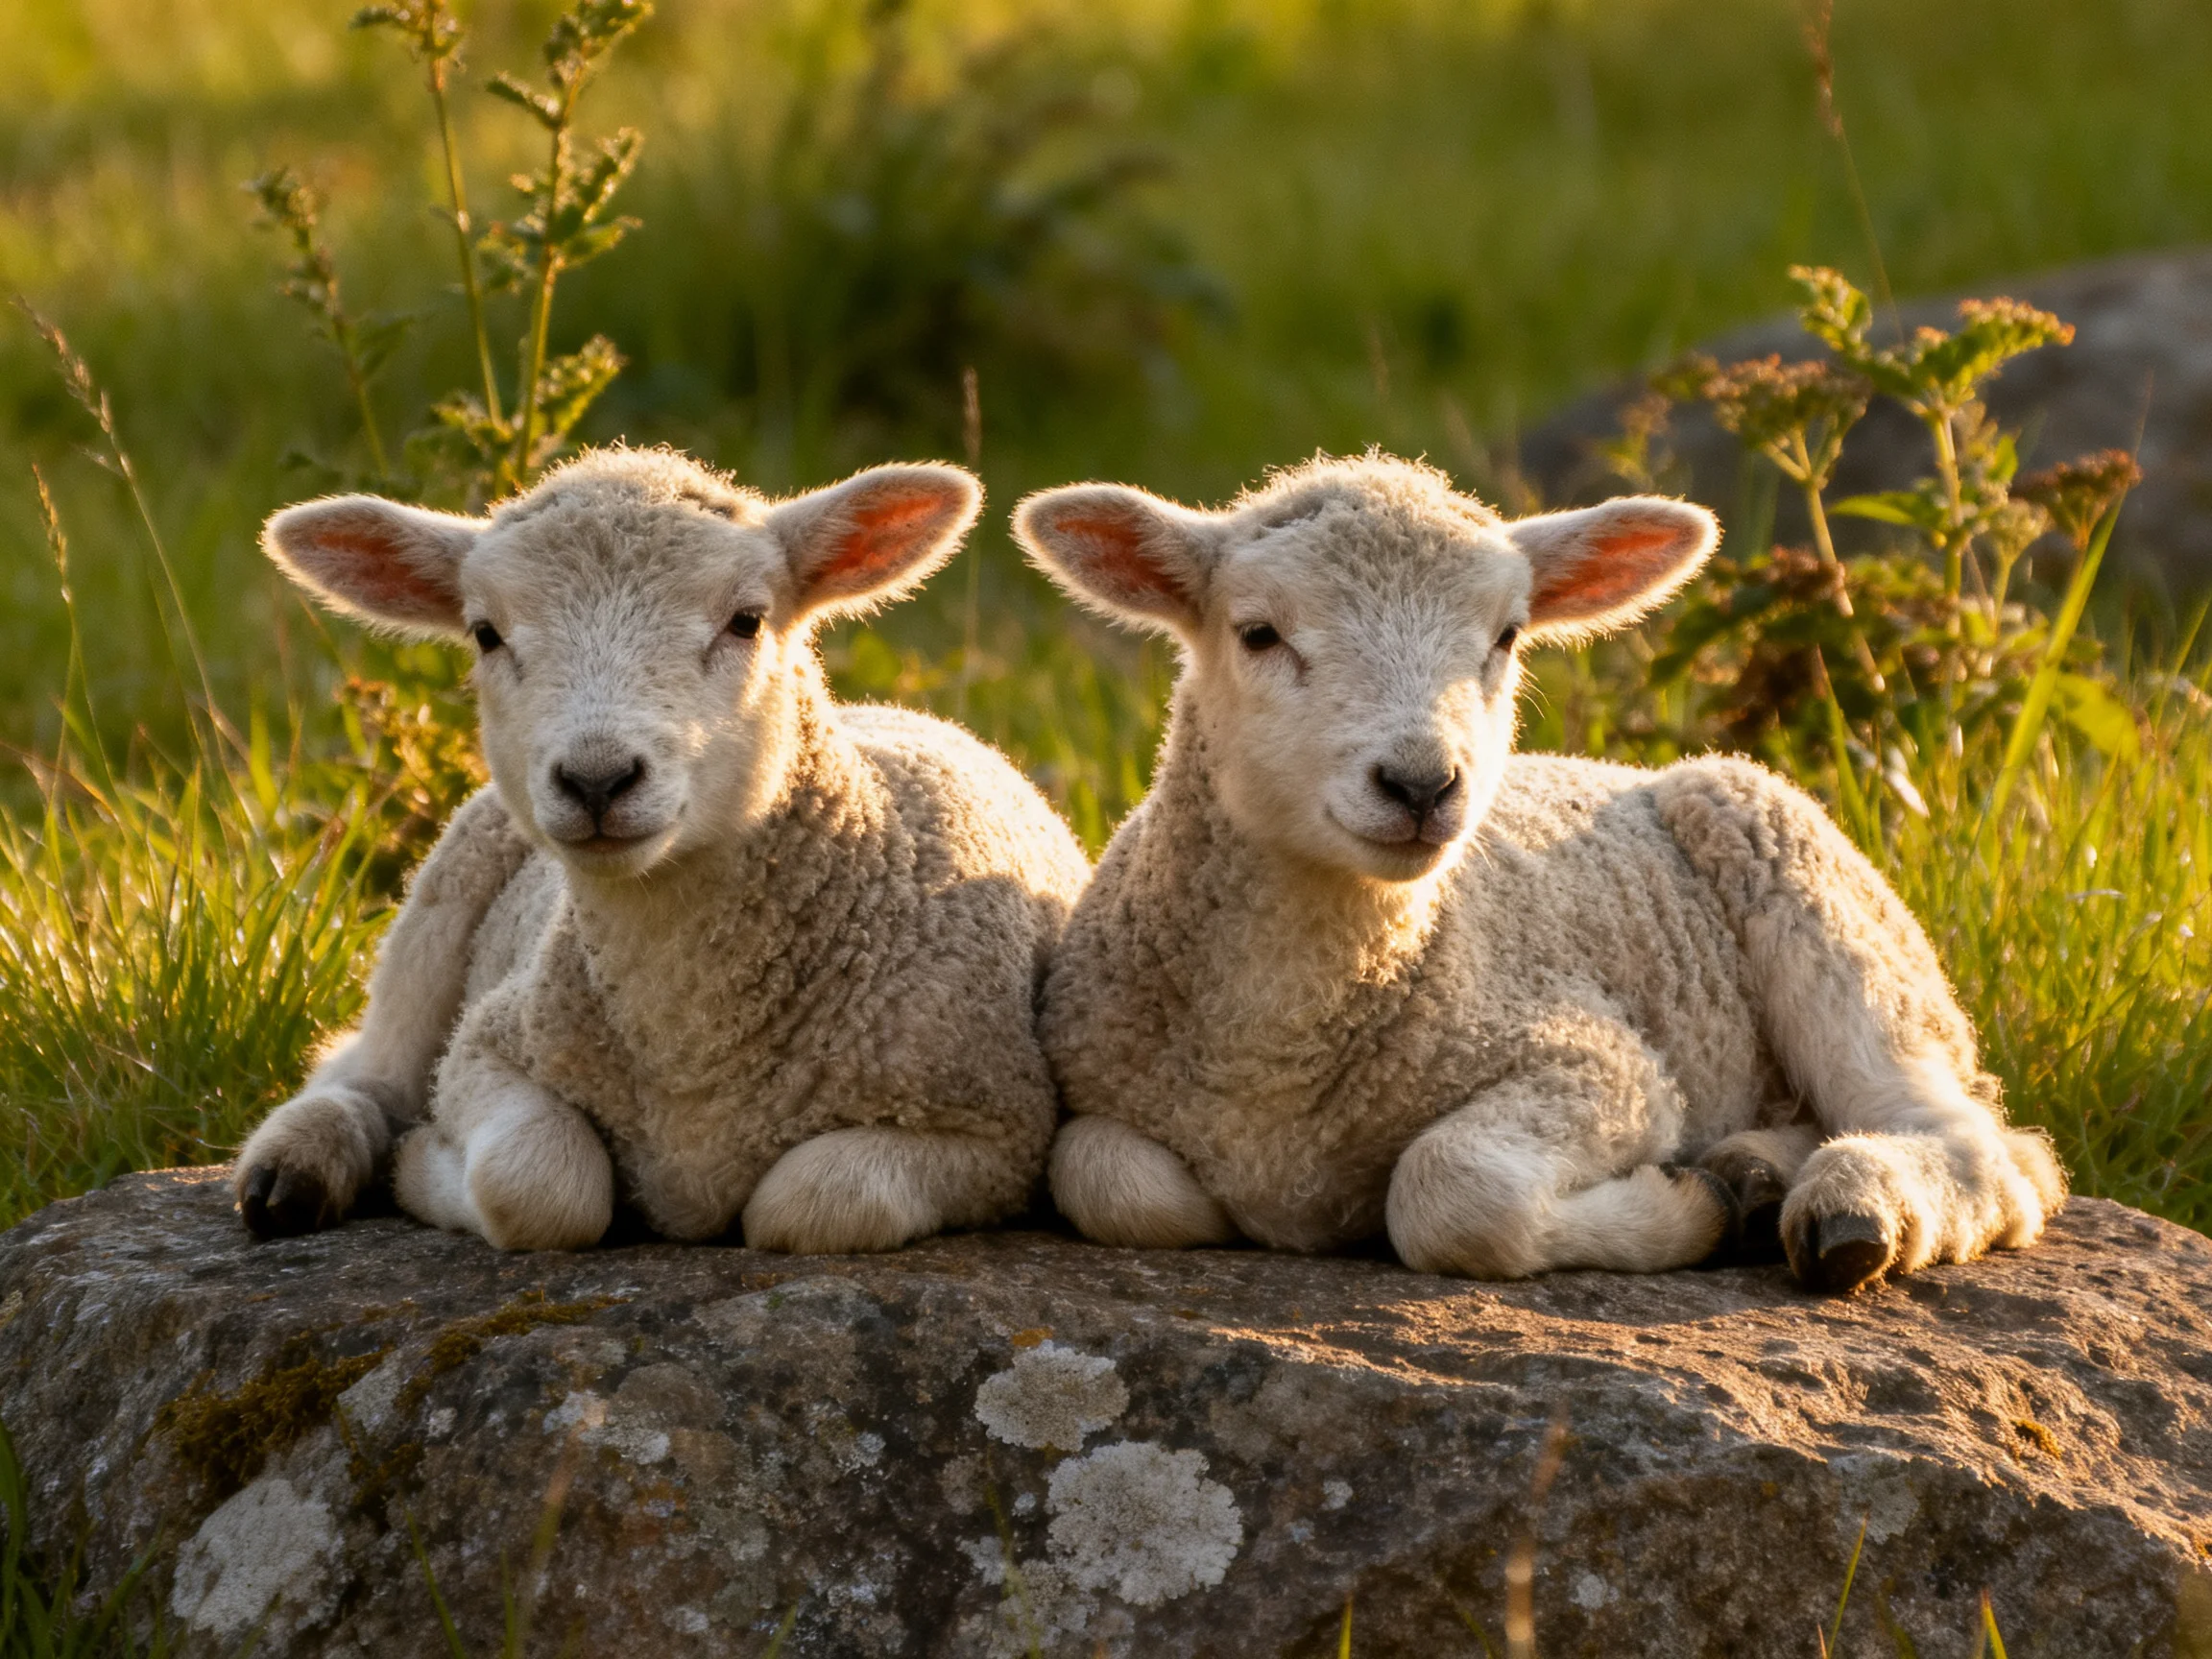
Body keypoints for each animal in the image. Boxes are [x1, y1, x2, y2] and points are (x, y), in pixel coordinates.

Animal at [232, 446, 1089, 1253]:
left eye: (746, 620)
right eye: (485, 633)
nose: (597, 779)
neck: (694, 1058)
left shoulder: (997, 1132)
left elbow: (810, 1203)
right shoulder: (488, 1047)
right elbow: (538, 1186)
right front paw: (420, 1167)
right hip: (437, 906)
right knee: (370, 1068)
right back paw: (297, 1165)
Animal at [1012, 453, 2064, 1293]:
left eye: (1507, 636)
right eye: (1259, 633)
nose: (1422, 784)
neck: (1278, 1054)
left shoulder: (1599, 1064)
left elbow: (1450, 1192)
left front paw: (1686, 1207)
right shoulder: (1104, 1088)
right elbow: (1103, 1177)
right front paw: (1720, 1196)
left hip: (1815, 893)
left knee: (1984, 1149)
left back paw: (1849, 1207)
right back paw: (1761, 1173)